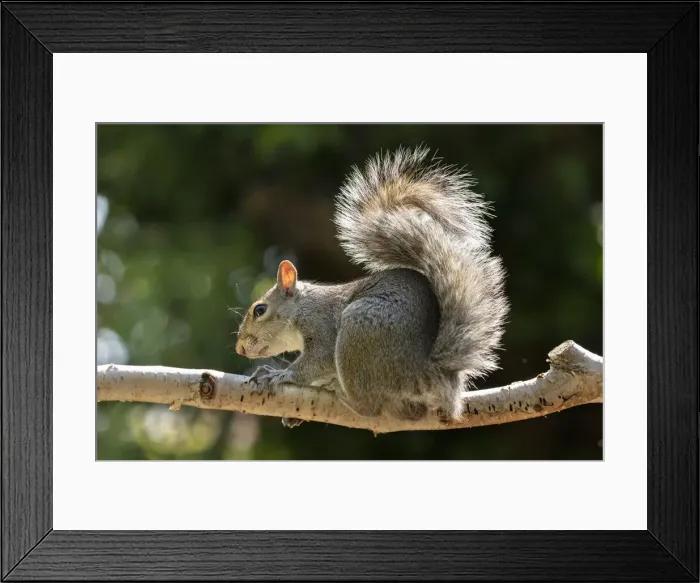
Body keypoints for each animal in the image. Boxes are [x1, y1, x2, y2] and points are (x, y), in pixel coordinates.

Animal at [235, 145, 509, 428]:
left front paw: (279, 374)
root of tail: (429, 373)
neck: (303, 307)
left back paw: (342, 394)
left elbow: (317, 360)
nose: (240, 348)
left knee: (370, 408)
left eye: (259, 310)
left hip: (359, 329)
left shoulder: (322, 326)